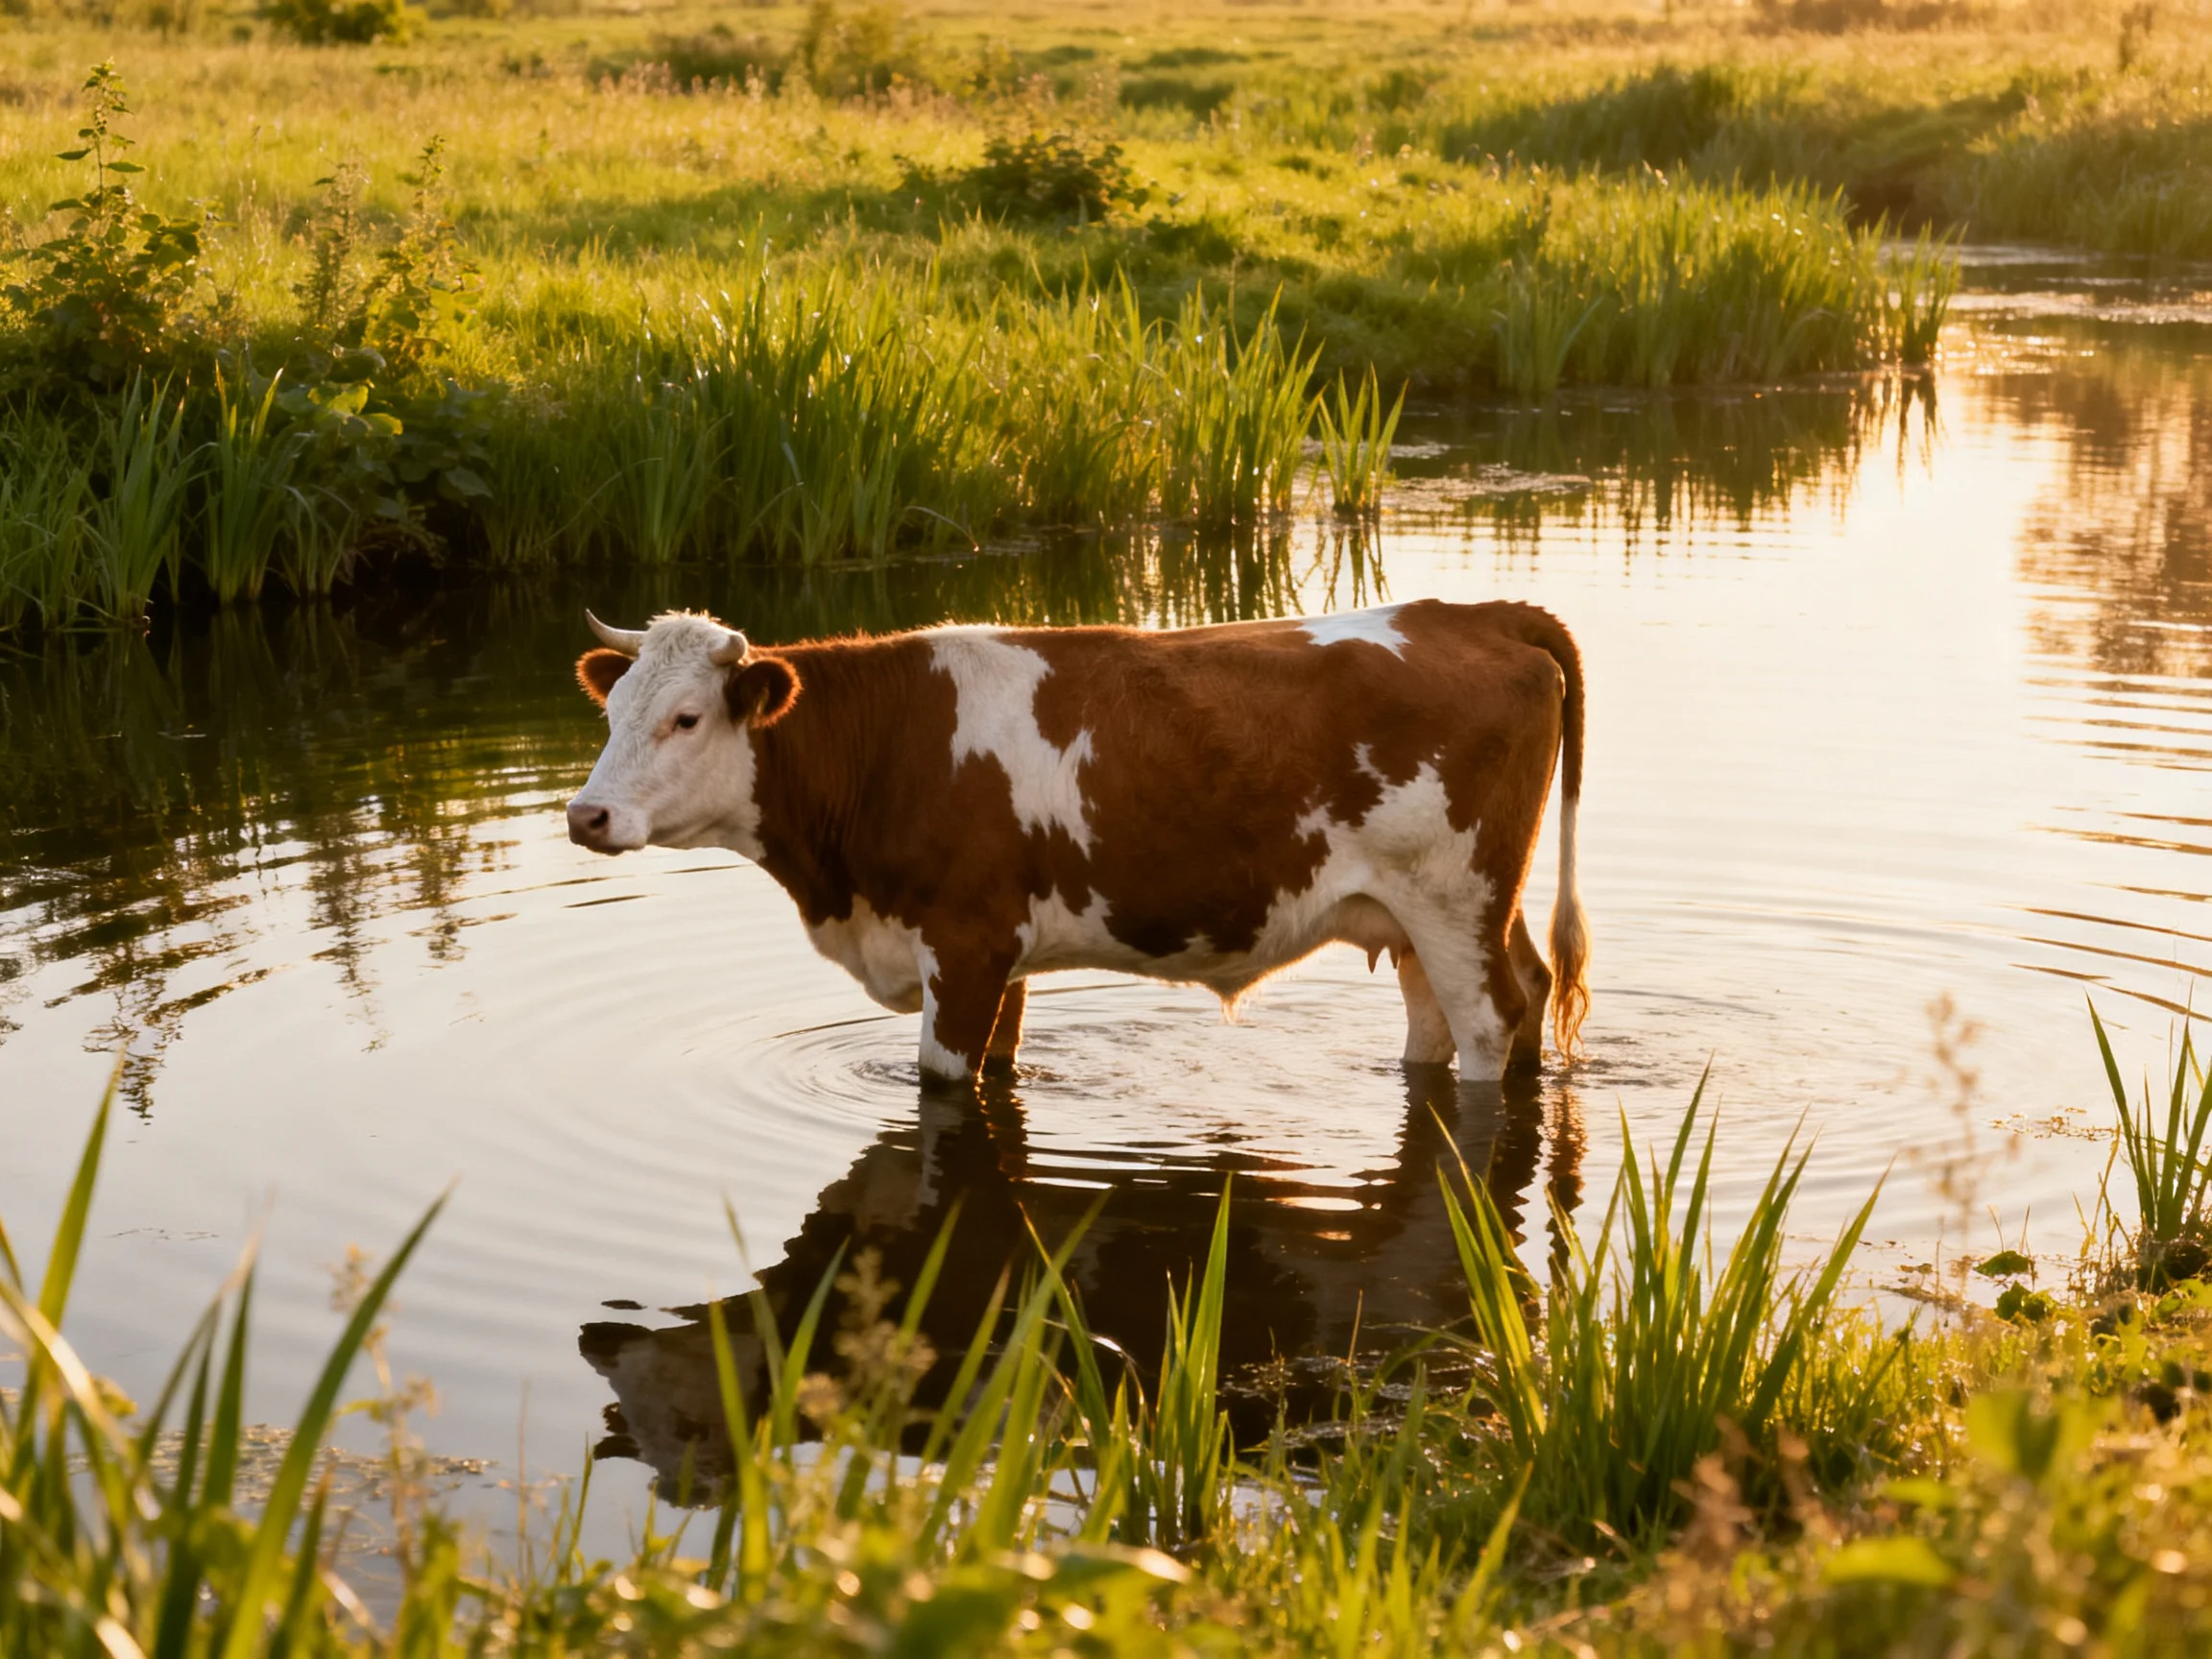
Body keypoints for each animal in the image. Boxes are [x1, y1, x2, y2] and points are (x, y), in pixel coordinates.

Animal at [566, 599, 1589, 1082]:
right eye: (612, 712)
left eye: (687, 719)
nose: (586, 817)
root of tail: (1475, 614)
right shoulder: (1001, 956)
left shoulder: (964, 946)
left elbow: (942, 1084)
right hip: (1431, 910)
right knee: (1485, 1006)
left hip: (1453, 898)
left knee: (1489, 1020)